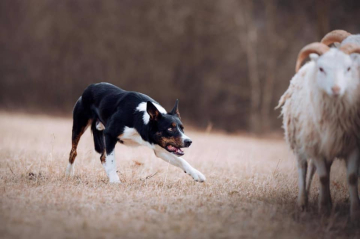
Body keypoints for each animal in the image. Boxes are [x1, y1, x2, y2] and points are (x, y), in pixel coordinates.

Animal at [278, 42, 360, 219]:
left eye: (348, 68)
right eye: (322, 69)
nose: (336, 89)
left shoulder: (353, 144)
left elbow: (351, 177)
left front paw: (355, 212)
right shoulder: (314, 145)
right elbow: (322, 177)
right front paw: (323, 210)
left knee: (322, 169)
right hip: (300, 140)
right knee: (303, 168)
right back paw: (303, 201)